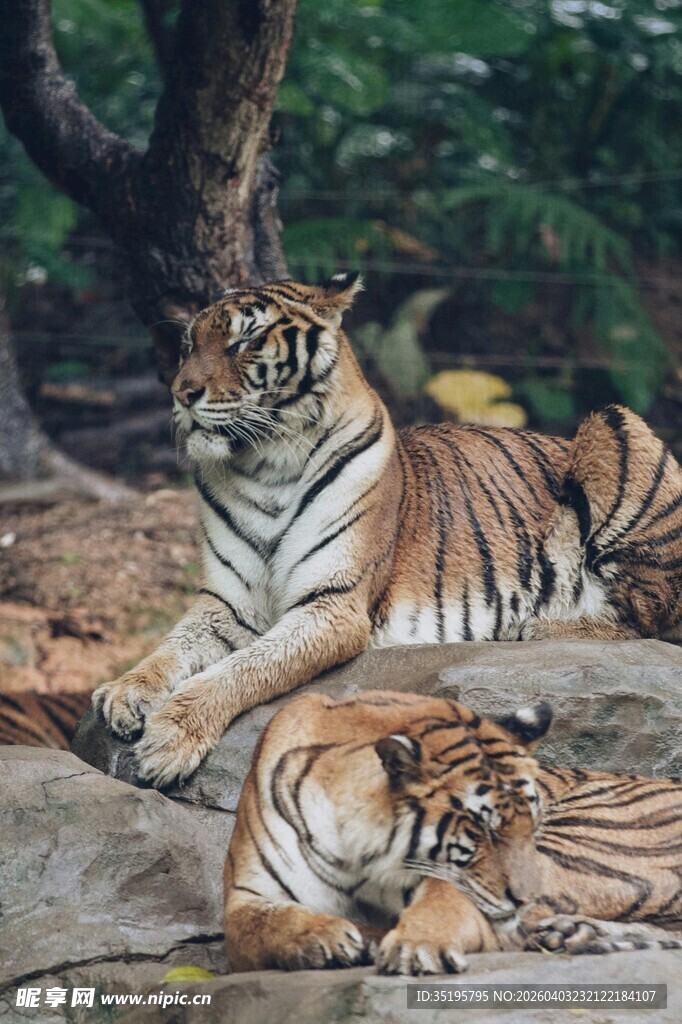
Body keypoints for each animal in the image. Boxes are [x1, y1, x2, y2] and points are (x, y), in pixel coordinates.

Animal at [92, 274, 682, 788]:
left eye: (247, 341)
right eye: (189, 344)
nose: (181, 392)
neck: (264, 467)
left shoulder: (333, 604)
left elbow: (244, 669)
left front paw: (171, 736)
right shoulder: (227, 605)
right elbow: (172, 647)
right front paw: (123, 692)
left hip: (612, 423)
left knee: (649, 619)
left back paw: (533, 626)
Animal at [224, 690, 682, 975]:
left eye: (530, 824)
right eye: (483, 829)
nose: (526, 899)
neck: (356, 854)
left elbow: (445, 902)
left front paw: (416, 946)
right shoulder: (247, 895)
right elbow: (265, 923)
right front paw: (324, 936)